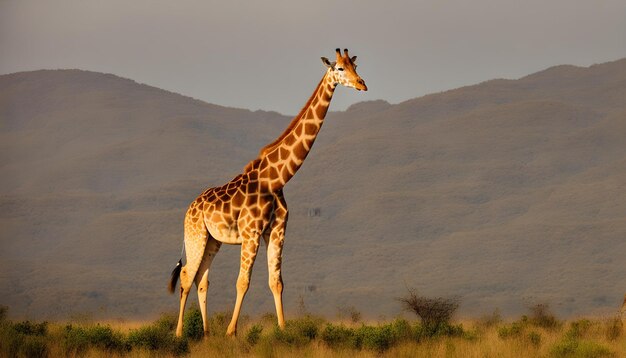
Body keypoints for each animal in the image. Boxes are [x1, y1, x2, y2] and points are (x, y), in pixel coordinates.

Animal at [168, 47, 368, 336]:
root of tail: (190, 208)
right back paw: (179, 333)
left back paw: (206, 334)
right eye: (339, 69)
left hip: (212, 240)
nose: (362, 84)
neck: (276, 179)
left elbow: (277, 282)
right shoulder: (251, 232)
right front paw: (231, 332)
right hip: (194, 235)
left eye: (355, 66)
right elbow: (242, 282)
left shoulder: (277, 230)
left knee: (202, 280)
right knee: (186, 276)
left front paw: (283, 331)